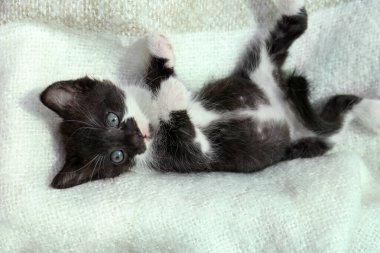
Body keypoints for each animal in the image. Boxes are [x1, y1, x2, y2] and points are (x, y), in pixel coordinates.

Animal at [40, 0, 378, 189]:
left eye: (112, 118)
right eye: (117, 156)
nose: (138, 140)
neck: (152, 121)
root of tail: (286, 108)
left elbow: (157, 77)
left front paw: (158, 46)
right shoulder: (192, 155)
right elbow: (183, 125)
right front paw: (173, 90)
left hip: (260, 69)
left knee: (291, 26)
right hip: (311, 141)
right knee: (339, 117)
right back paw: (373, 113)